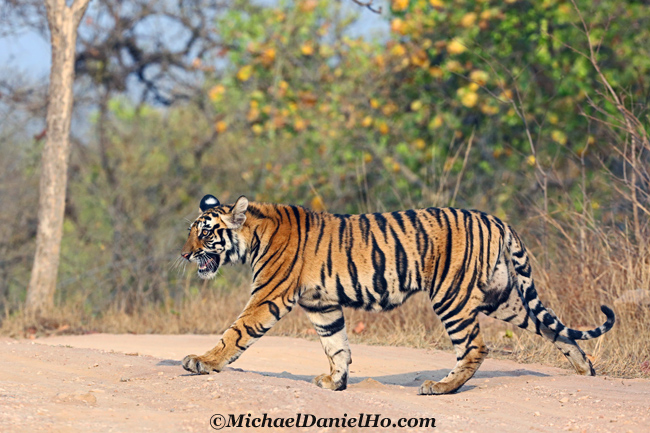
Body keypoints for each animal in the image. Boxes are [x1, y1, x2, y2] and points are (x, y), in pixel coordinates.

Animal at [178, 194, 612, 394]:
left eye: (204, 233)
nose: (183, 254)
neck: (252, 236)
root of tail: (495, 219)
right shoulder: (322, 304)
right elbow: (336, 345)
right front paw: (335, 381)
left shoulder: (269, 296)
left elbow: (235, 333)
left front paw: (202, 362)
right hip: (502, 297)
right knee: (553, 327)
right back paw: (585, 371)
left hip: (452, 296)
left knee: (474, 348)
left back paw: (441, 387)